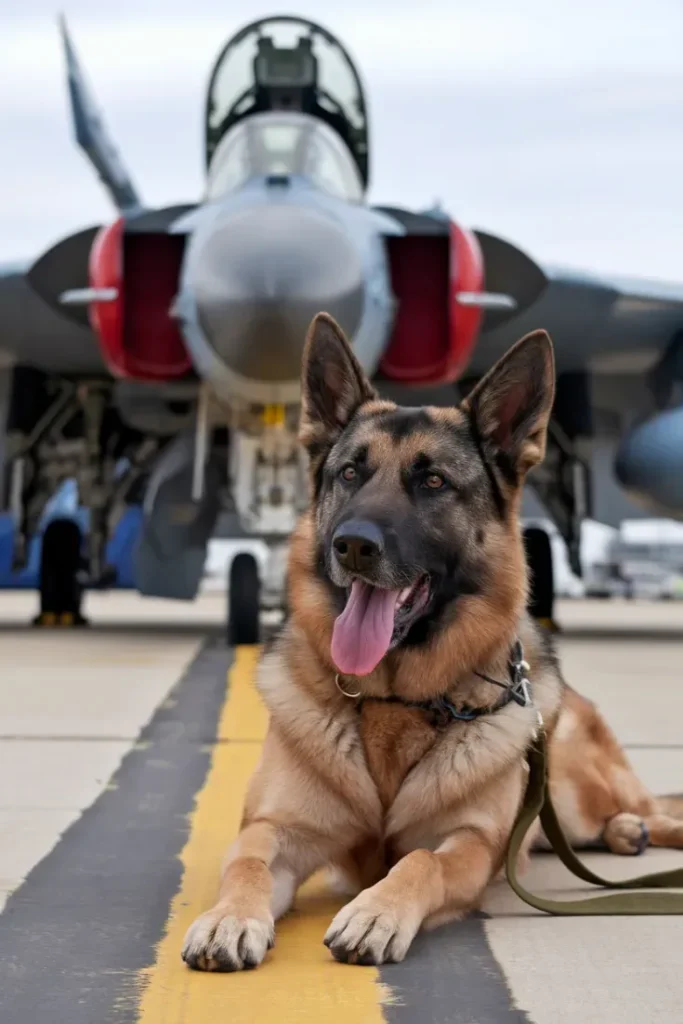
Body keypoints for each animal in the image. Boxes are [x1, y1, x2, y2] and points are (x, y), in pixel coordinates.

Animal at [181, 315, 683, 970]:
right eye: (349, 474)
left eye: (434, 481)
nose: (352, 545)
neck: (394, 701)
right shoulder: (274, 828)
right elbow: (246, 864)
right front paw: (229, 918)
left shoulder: (471, 845)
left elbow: (420, 861)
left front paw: (376, 912)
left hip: (577, 791)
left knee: (652, 809)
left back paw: (632, 828)